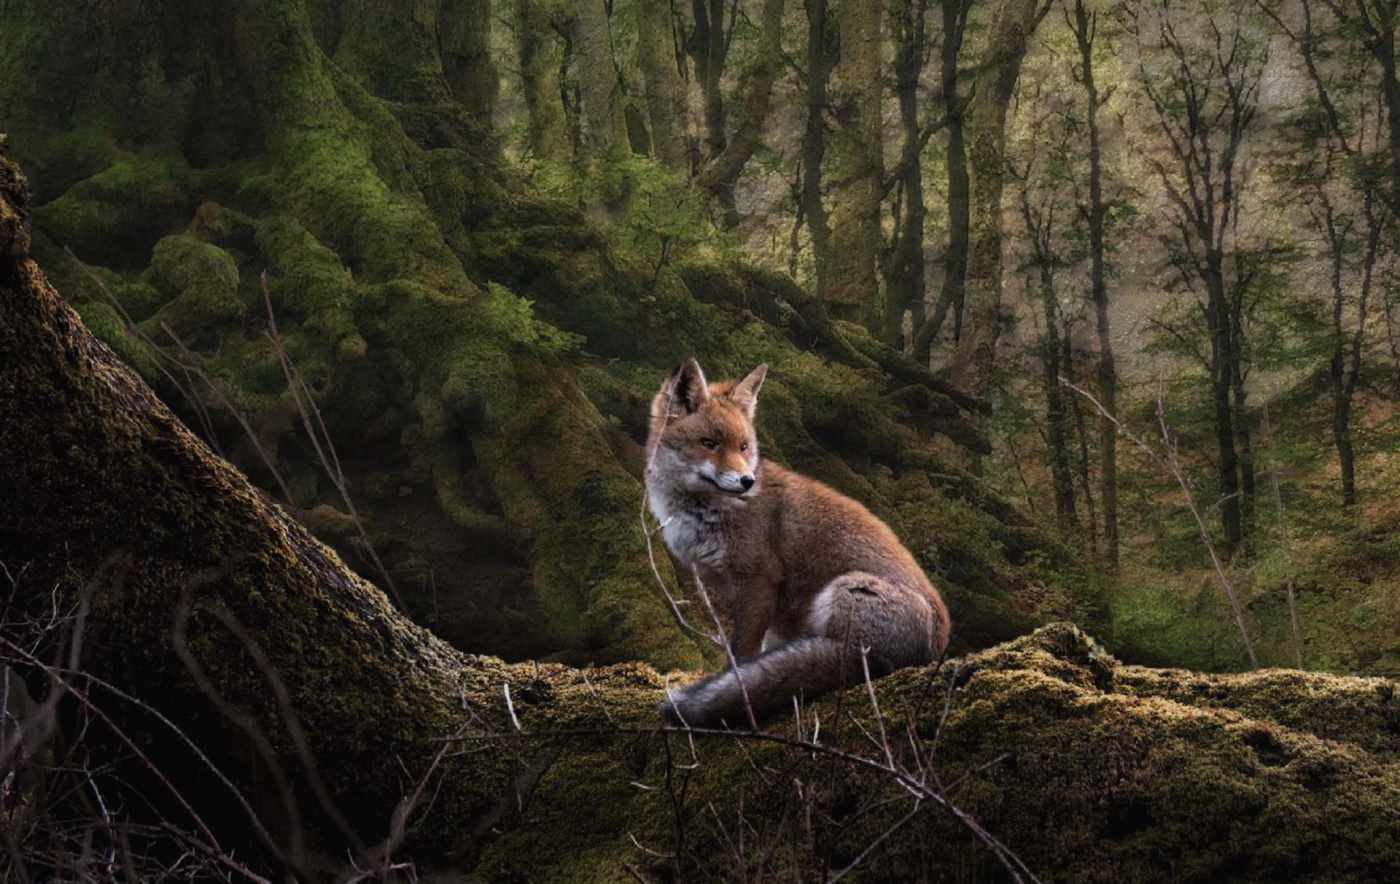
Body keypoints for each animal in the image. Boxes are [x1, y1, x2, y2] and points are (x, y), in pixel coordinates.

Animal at [644, 358, 952, 728]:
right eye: (709, 443)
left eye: (743, 447)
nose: (747, 481)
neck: (704, 513)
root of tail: (936, 649)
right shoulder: (714, 586)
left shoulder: (759, 580)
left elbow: (741, 654)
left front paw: (734, 688)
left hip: (845, 592)